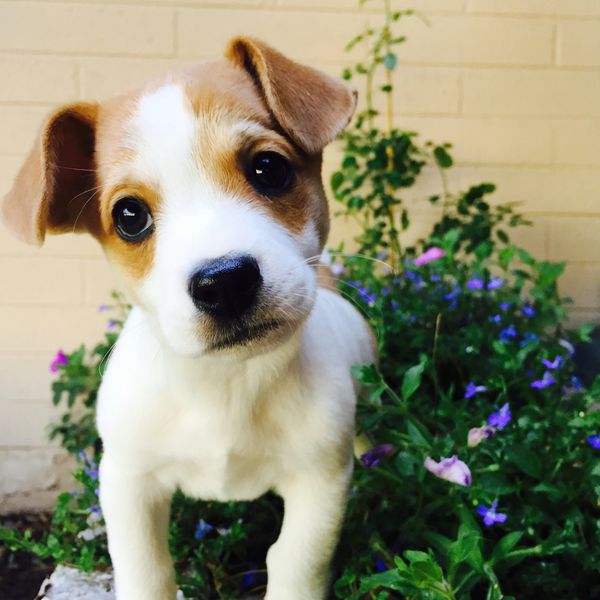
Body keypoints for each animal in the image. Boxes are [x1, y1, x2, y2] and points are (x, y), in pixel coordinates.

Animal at [1, 37, 376, 600]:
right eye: (129, 216)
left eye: (269, 168)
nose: (225, 282)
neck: (225, 384)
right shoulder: (128, 483)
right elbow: (147, 571)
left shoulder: (320, 485)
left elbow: (295, 562)